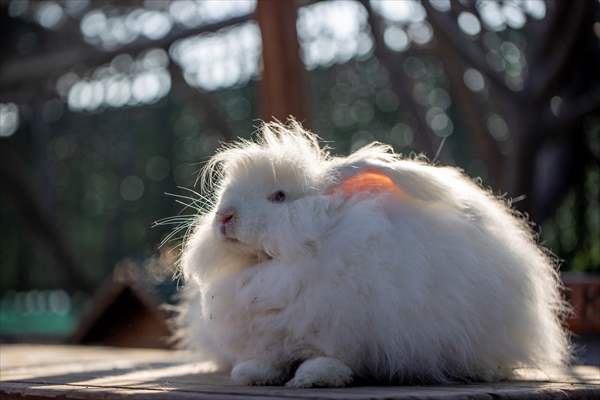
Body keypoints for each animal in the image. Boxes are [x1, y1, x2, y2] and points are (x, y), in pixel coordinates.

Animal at [176, 119, 568, 388]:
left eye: (279, 196)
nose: (225, 216)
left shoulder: (344, 326)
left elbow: (331, 356)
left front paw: (314, 377)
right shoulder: (268, 335)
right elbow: (268, 359)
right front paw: (250, 373)